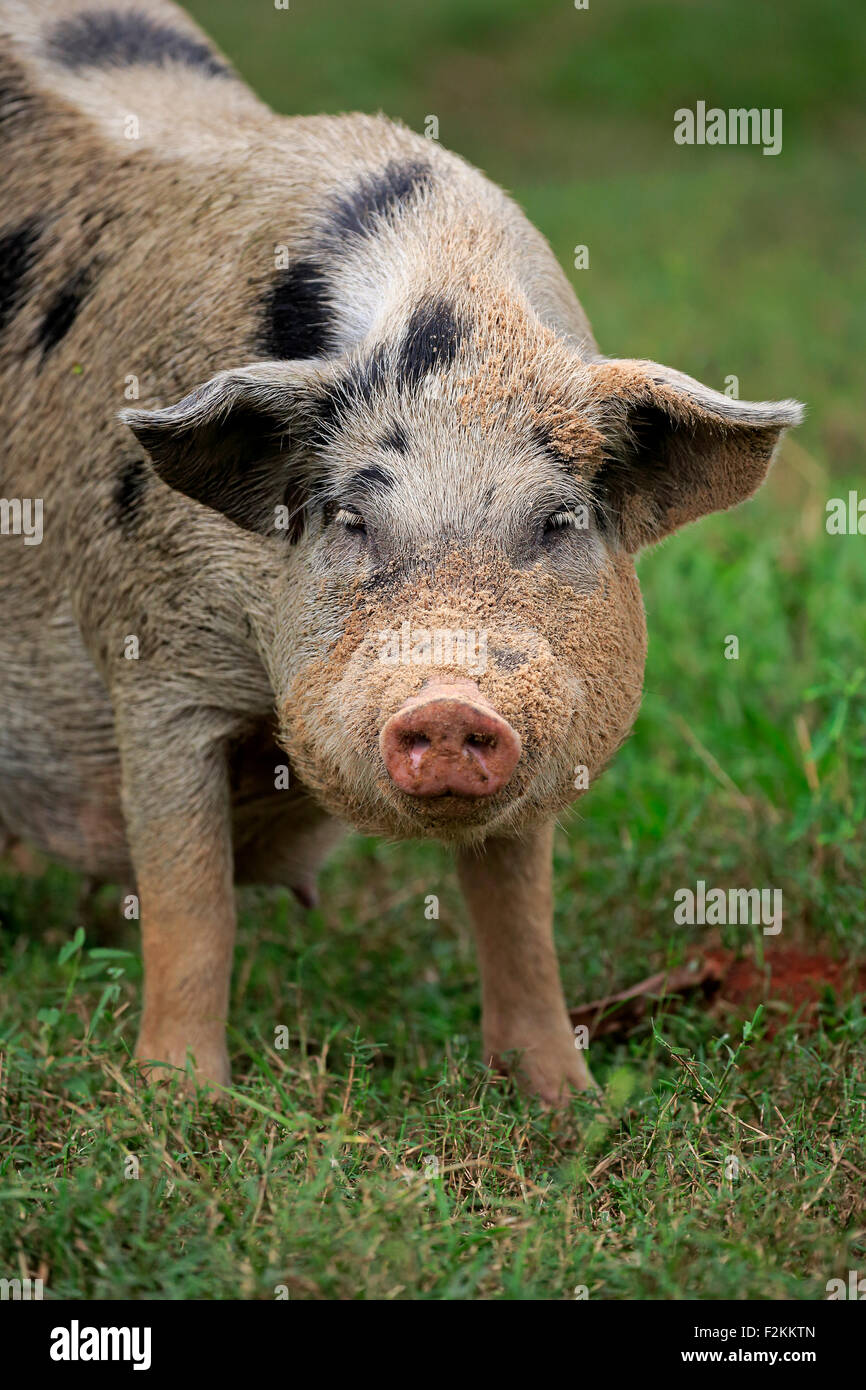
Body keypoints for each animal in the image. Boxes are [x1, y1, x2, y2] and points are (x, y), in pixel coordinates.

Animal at [0, 2, 800, 1106]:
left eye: (557, 522)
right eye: (349, 520)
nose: (450, 702)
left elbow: (517, 908)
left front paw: (569, 1103)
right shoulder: (156, 661)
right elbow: (188, 900)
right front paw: (178, 1102)